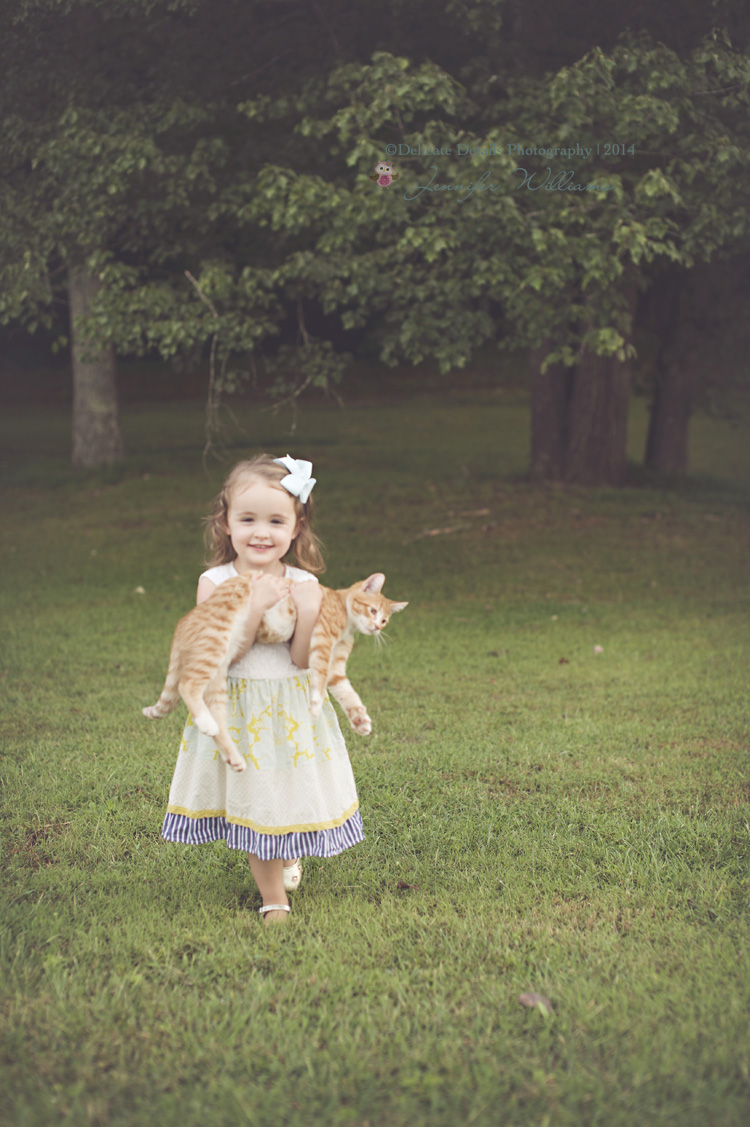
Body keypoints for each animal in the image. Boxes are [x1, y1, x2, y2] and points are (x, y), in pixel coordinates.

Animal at [143, 568, 406, 770]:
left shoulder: (337, 667)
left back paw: (232, 755)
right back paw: (206, 724)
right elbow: (320, 676)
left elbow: (347, 692)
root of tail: (182, 622)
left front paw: (360, 719)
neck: (345, 615)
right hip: (213, 646)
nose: (377, 627)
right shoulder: (321, 638)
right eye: (373, 610)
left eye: (385, 620)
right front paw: (316, 703)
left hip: (218, 673)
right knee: (186, 684)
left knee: (216, 717)